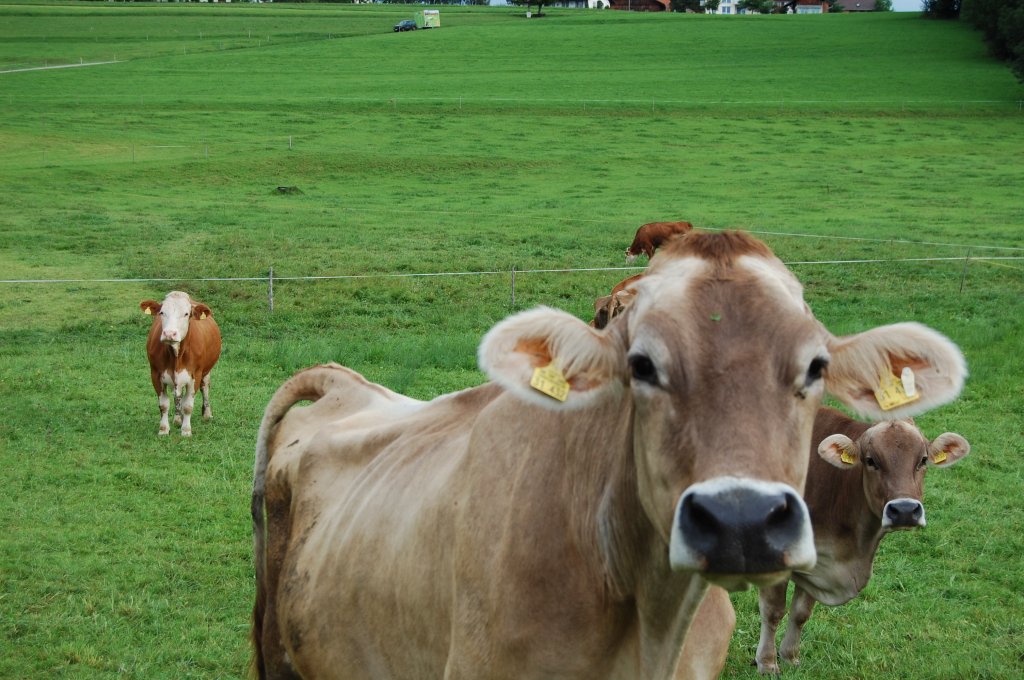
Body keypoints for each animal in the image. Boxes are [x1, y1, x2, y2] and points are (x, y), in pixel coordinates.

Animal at [139, 290, 221, 436]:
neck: (175, 355)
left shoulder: (195, 375)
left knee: (205, 387)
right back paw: (177, 419)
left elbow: (188, 406)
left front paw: (186, 430)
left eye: (186, 314)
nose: (169, 333)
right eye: (162, 312)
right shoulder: (155, 374)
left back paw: (207, 414)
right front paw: (164, 429)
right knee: (178, 396)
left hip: (206, 370)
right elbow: (164, 405)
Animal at [757, 405, 970, 671]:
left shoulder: (819, 564)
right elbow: (774, 611)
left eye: (922, 460)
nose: (904, 510)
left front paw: (790, 656)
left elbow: (801, 612)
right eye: (871, 460)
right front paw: (767, 663)